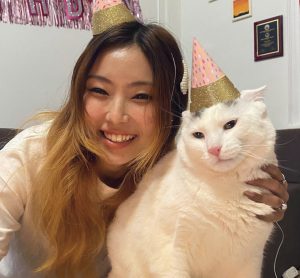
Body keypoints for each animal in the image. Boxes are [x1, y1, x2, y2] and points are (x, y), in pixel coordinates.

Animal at [106, 86, 276, 276]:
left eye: (230, 124)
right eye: (198, 135)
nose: (214, 149)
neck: (225, 189)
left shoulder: (248, 261)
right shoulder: (170, 249)